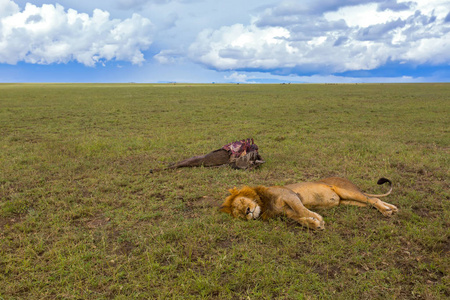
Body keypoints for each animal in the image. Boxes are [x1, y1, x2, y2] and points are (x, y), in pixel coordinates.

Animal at [220, 177, 400, 231]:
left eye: (242, 202)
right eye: (239, 213)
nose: (248, 211)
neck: (264, 204)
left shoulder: (290, 195)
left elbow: (301, 210)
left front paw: (316, 218)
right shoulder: (287, 212)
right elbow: (300, 219)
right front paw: (314, 224)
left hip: (348, 191)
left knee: (373, 199)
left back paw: (387, 211)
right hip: (348, 201)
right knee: (372, 202)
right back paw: (392, 208)